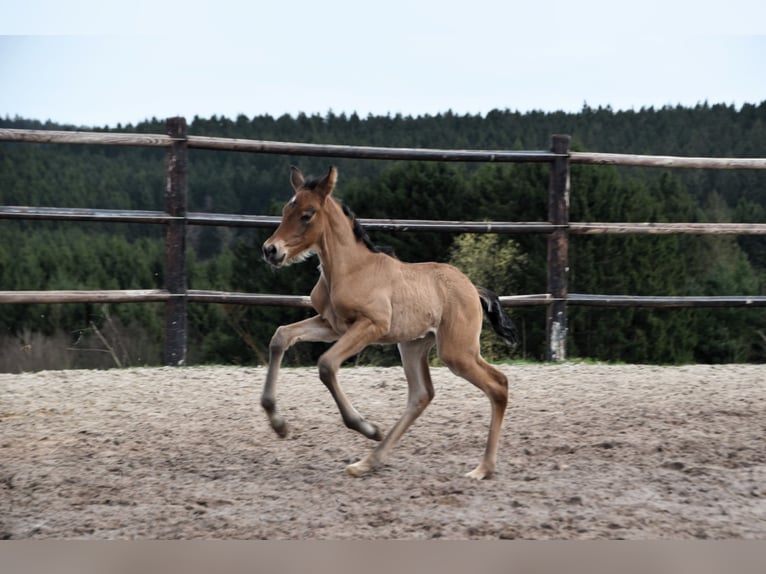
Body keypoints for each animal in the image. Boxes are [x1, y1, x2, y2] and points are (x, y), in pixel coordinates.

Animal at [260, 166, 520, 482]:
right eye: (286, 209)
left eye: (307, 214)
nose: (271, 250)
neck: (350, 269)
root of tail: (472, 287)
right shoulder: (331, 325)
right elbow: (281, 337)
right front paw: (278, 424)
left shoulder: (372, 325)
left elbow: (326, 364)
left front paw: (366, 427)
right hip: (412, 345)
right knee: (421, 395)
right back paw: (368, 462)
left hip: (457, 351)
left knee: (498, 384)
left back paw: (483, 468)